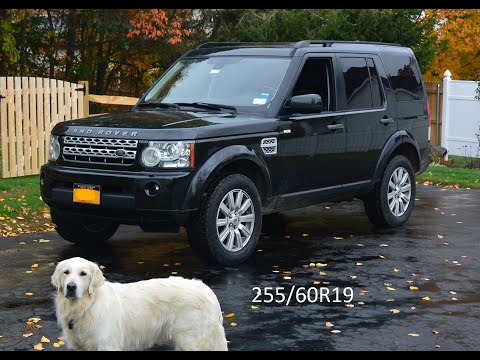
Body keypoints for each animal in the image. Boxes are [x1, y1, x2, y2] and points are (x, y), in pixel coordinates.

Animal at [51, 258, 228, 350]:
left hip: (192, 341)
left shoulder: (107, 345)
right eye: (66, 272)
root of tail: (207, 290)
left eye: (83, 274)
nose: (71, 287)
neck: (87, 306)